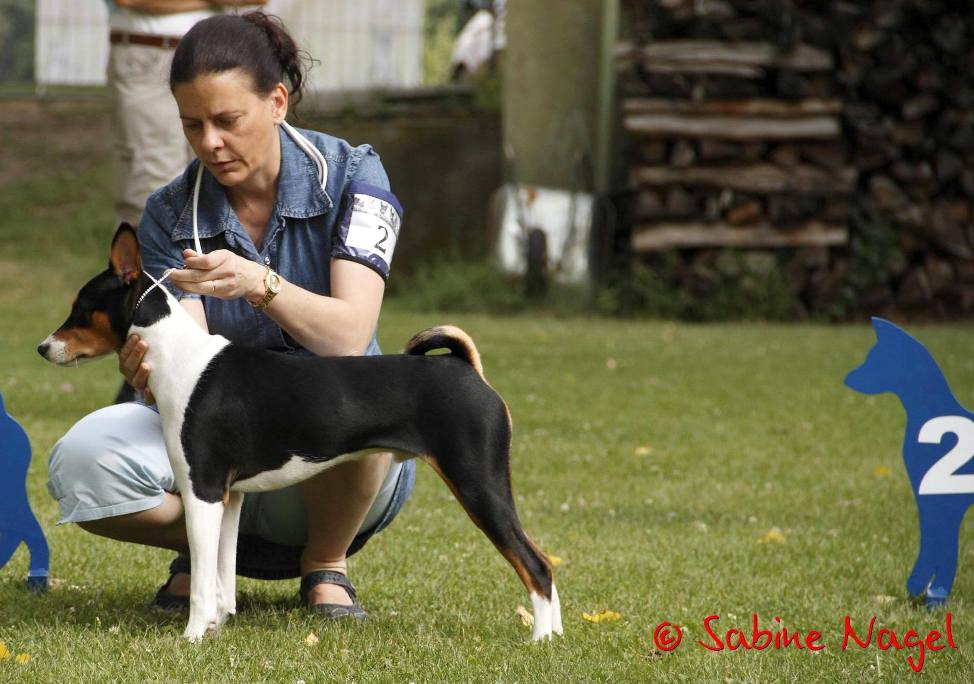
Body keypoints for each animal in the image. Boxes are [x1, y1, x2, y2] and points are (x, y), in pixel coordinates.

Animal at [39, 224, 561, 641]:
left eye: (80, 310)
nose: (43, 348)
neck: (180, 360)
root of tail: (467, 369)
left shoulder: (202, 489)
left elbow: (204, 582)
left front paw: (192, 637)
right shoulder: (229, 496)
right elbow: (222, 576)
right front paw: (217, 628)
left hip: (478, 483)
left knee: (535, 563)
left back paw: (538, 640)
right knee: (544, 564)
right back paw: (555, 639)